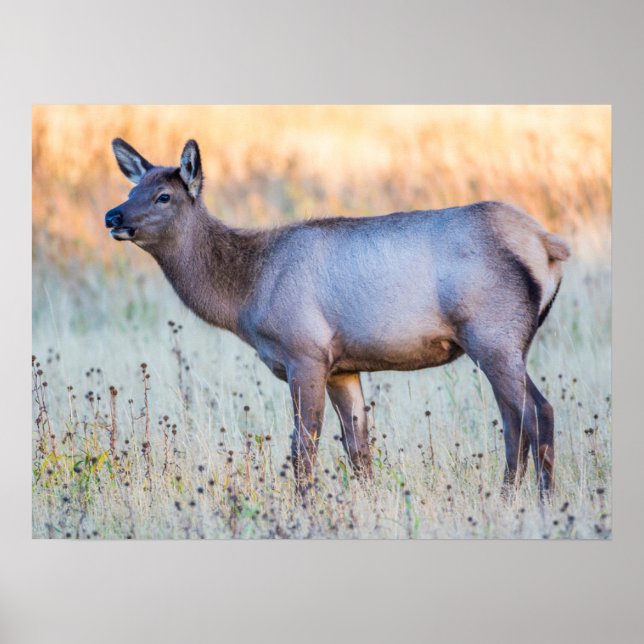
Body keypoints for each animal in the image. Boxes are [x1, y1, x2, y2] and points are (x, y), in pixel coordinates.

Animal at [105, 138, 570, 500]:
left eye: (164, 196)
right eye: (133, 189)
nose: (113, 216)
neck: (247, 293)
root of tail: (548, 245)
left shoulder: (305, 352)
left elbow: (303, 447)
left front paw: (305, 509)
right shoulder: (343, 367)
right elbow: (358, 447)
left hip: (493, 335)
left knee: (535, 414)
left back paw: (541, 503)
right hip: (505, 342)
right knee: (519, 418)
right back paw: (511, 497)